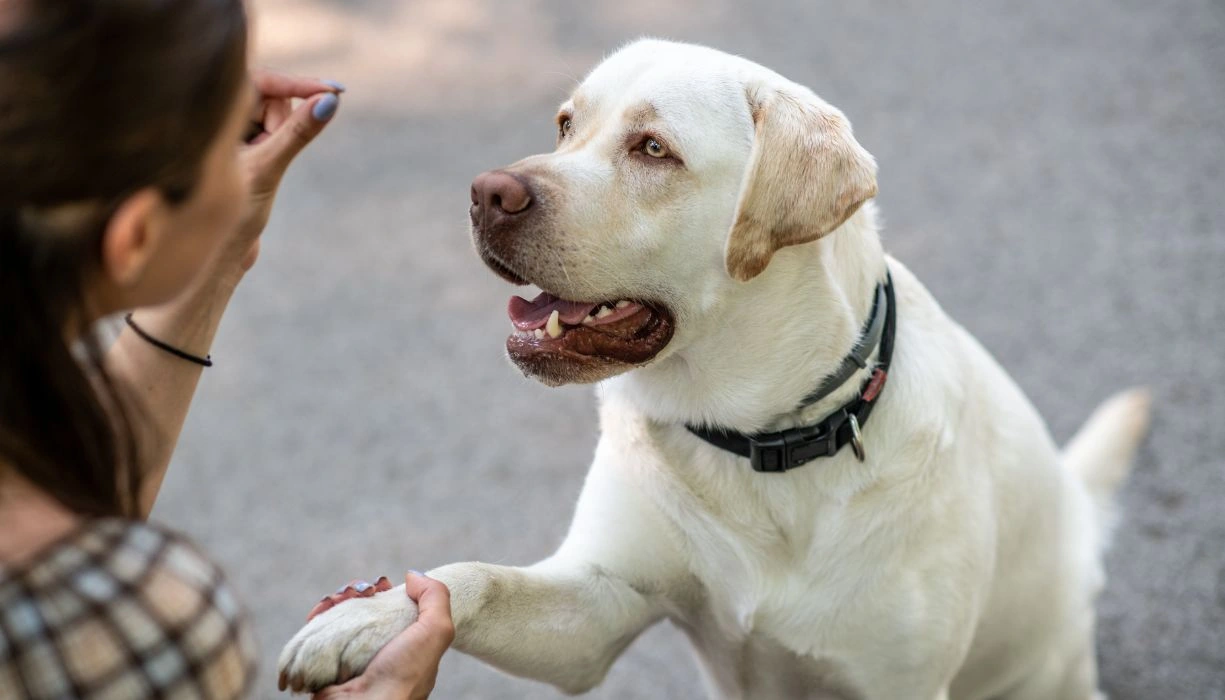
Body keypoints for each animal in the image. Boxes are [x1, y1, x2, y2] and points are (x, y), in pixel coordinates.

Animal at [278, 39, 1146, 700]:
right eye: (565, 125)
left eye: (652, 149)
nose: (485, 193)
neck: (760, 440)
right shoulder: (595, 607)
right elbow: (473, 579)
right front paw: (365, 621)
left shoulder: (896, 682)